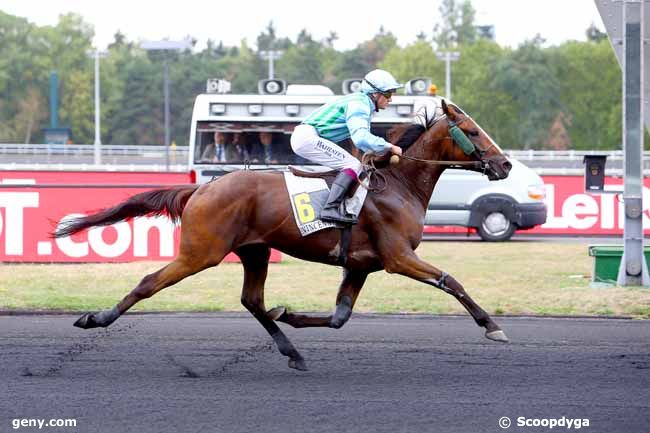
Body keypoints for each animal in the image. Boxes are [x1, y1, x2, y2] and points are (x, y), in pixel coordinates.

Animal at [54, 98, 512, 372]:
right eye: (473, 132)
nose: (505, 164)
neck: (399, 185)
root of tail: (201, 188)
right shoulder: (398, 258)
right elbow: (450, 281)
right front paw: (491, 325)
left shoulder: (361, 265)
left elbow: (339, 316)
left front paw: (289, 314)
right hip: (201, 252)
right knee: (150, 282)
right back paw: (96, 318)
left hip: (254, 251)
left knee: (252, 302)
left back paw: (292, 350)